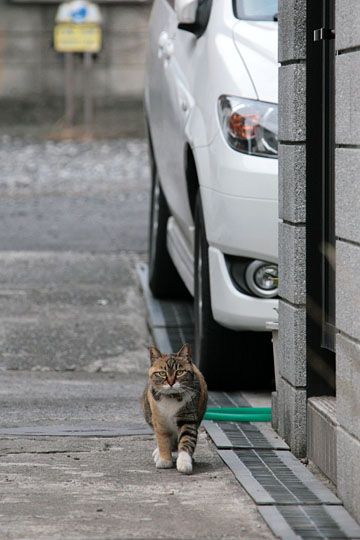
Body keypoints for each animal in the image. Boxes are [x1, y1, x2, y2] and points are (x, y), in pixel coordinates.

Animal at [141, 344, 207, 474]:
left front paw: (184, 462)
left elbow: (187, 439)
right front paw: (164, 460)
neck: (171, 397)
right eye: (162, 373)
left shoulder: (188, 417)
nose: (171, 383)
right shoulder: (159, 420)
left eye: (180, 372)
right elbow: (163, 440)